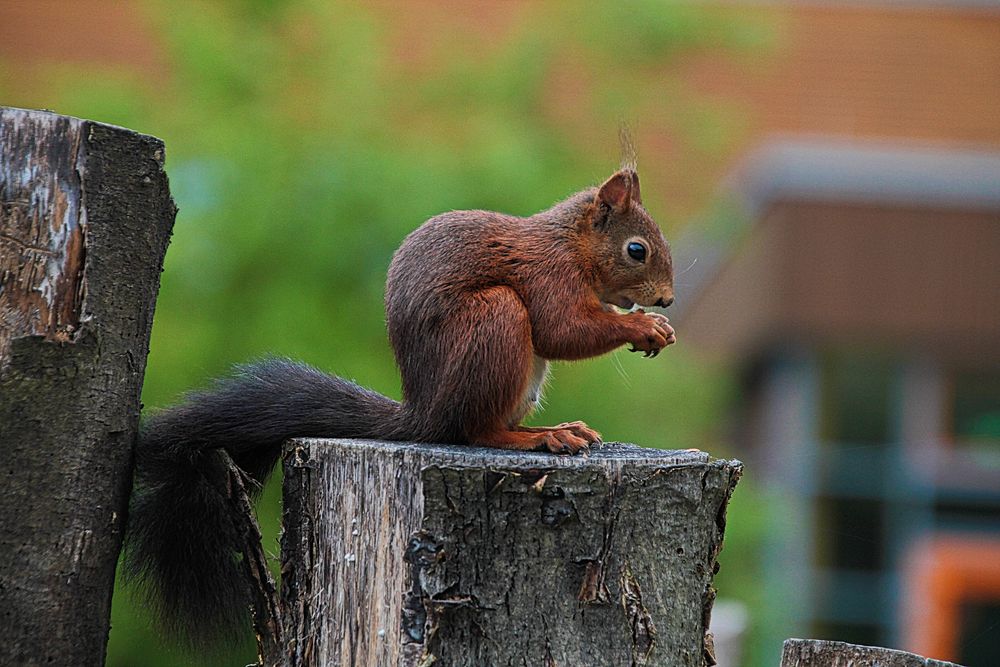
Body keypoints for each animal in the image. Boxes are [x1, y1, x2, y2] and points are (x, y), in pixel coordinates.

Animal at [123, 167, 672, 648]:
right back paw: (538, 436)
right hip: (495, 318)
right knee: (476, 430)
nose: (666, 300)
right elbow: (563, 328)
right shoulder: (547, 274)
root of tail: (424, 411)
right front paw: (642, 327)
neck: (571, 244)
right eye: (636, 250)